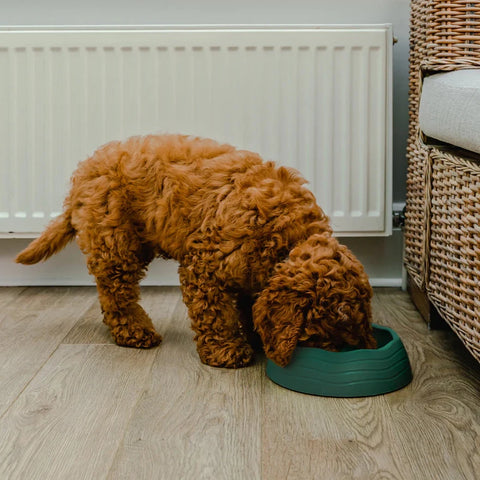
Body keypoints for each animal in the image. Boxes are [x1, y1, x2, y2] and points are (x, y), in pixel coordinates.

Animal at [15, 135, 376, 368]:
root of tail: (84, 172)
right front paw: (228, 351)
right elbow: (216, 314)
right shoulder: (206, 268)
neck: (286, 233)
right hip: (117, 241)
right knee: (117, 292)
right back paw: (135, 332)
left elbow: (251, 305)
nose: (348, 352)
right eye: (322, 334)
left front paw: (255, 336)